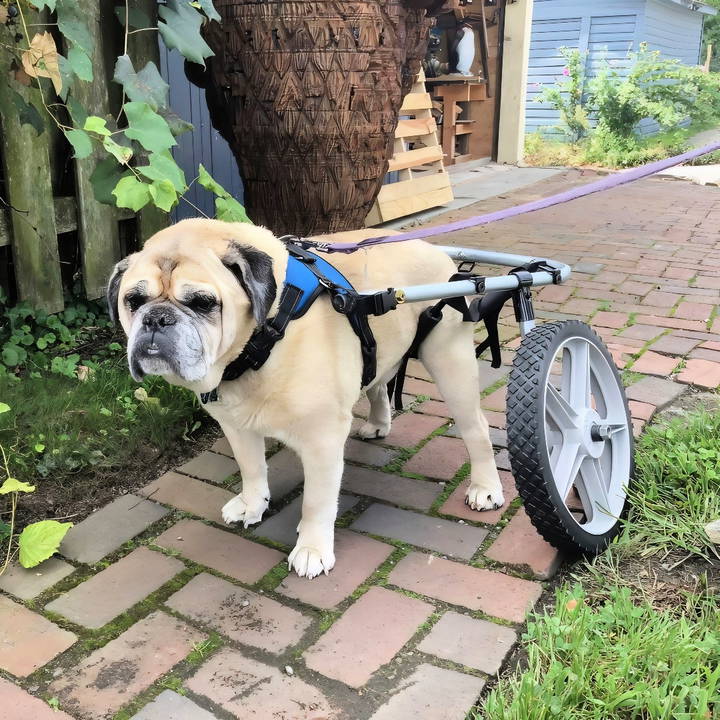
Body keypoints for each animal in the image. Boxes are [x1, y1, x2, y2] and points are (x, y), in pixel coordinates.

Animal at [109, 219, 504, 580]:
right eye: (134, 301)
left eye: (203, 303)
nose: (157, 319)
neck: (262, 339)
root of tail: (437, 253)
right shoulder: (236, 426)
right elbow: (252, 469)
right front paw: (253, 504)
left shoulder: (322, 441)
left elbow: (317, 501)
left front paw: (313, 548)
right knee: (377, 385)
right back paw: (378, 424)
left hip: (451, 364)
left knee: (476, 429)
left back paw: (485, 488)